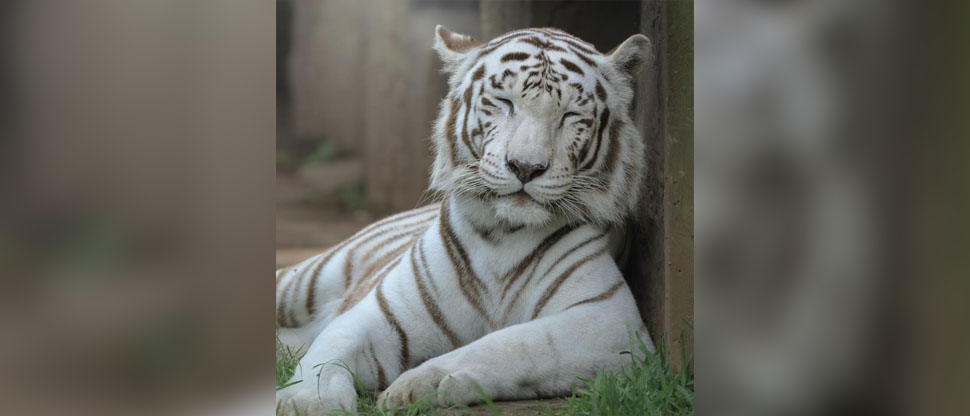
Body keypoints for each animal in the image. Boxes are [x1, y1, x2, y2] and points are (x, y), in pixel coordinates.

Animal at [276, 25, 653, 414]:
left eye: (571, 114)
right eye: (504, 101)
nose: (525, 167)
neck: (504, 234)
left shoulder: (609, 320)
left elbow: (512, 345)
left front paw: (419, 384)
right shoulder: (384, 313)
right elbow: (331, 348)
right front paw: (309, 402)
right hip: (308, 279)